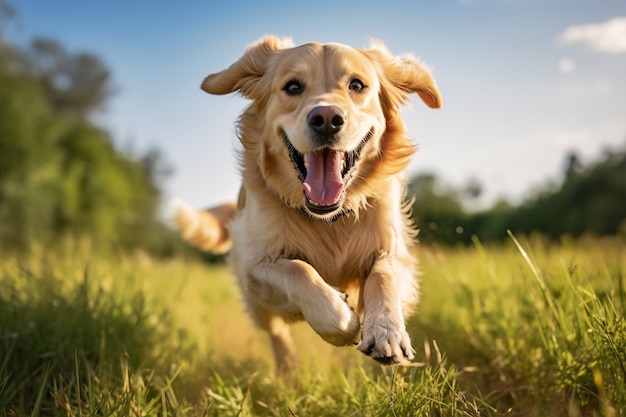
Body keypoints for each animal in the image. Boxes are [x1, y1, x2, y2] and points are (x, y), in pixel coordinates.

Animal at [173, 36, 442, 374]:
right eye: (293, 87)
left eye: (357, 85)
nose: (326, 119)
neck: (328, 219)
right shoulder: (256, 264)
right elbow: (299, 271)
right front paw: (342, 320)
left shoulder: (393, 249)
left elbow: (383, 275)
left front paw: (386, 333)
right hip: (256, 302)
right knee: (277, 332)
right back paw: (288, 371)